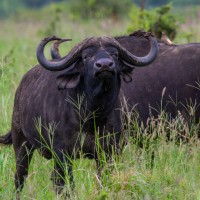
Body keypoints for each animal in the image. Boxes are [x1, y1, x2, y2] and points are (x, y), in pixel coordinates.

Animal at [0, 33, 158, 198]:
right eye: (86, 56)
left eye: (114, 54)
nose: (105, 65)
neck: (93, 114)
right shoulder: (62, 153)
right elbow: (66, 182)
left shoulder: (109, 152)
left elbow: (103, 179)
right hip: (21, 144)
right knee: (21, 176)